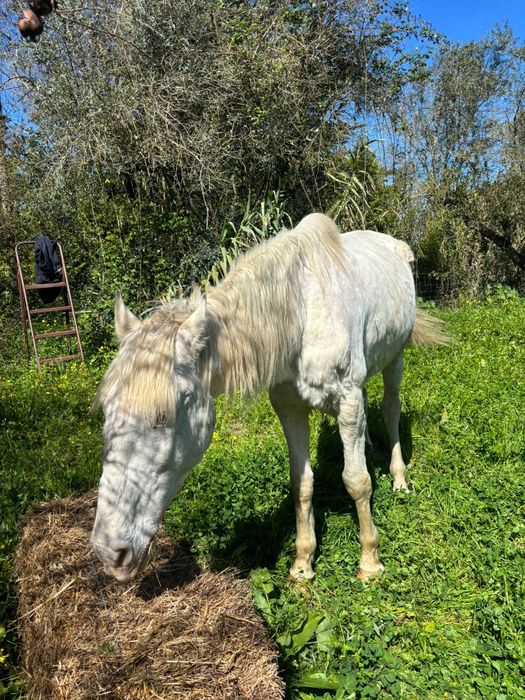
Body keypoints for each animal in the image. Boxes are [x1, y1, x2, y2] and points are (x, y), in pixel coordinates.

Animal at [91, 213, 449, 583]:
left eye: (162, 418)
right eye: (106, 412)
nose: (111, 551)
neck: (301, 315)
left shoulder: (348, 403)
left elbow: (357, 481)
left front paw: (370, 562)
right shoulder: (290, 409)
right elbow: (302, 484)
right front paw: (302, 566)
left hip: (396, 358)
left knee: (391, 410)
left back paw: (399, 479)